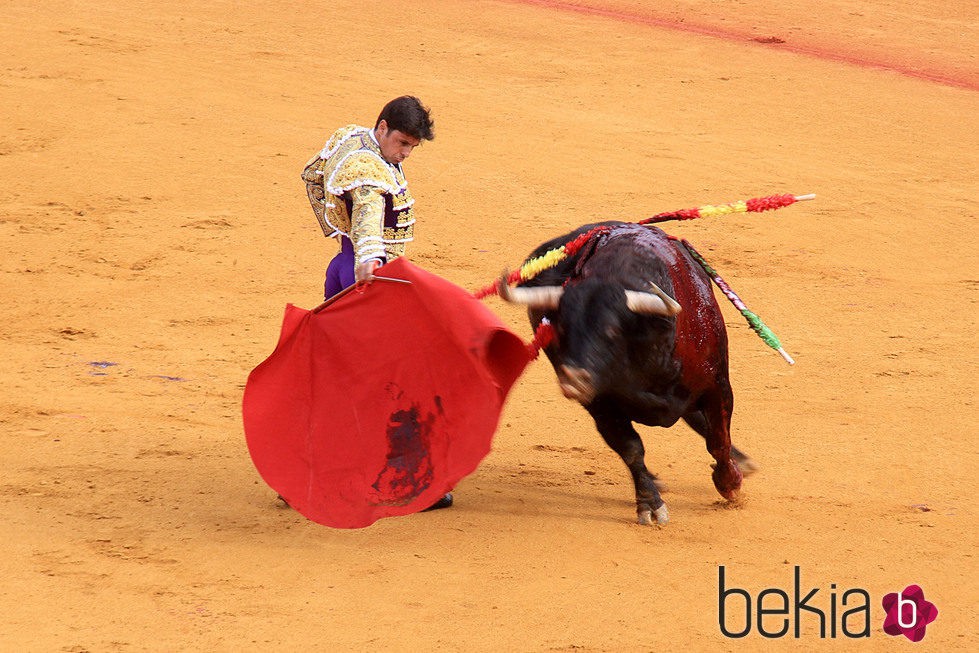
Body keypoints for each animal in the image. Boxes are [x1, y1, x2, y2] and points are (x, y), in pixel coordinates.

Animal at [498, 223, 756, 524]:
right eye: (559, 329)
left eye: (611, 331)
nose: (573, 380)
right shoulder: (600, 404)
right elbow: (632, 449)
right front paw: (650, 505)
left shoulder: (717, 385)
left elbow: (718, 439)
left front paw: (729, 483)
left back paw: (741, 463)